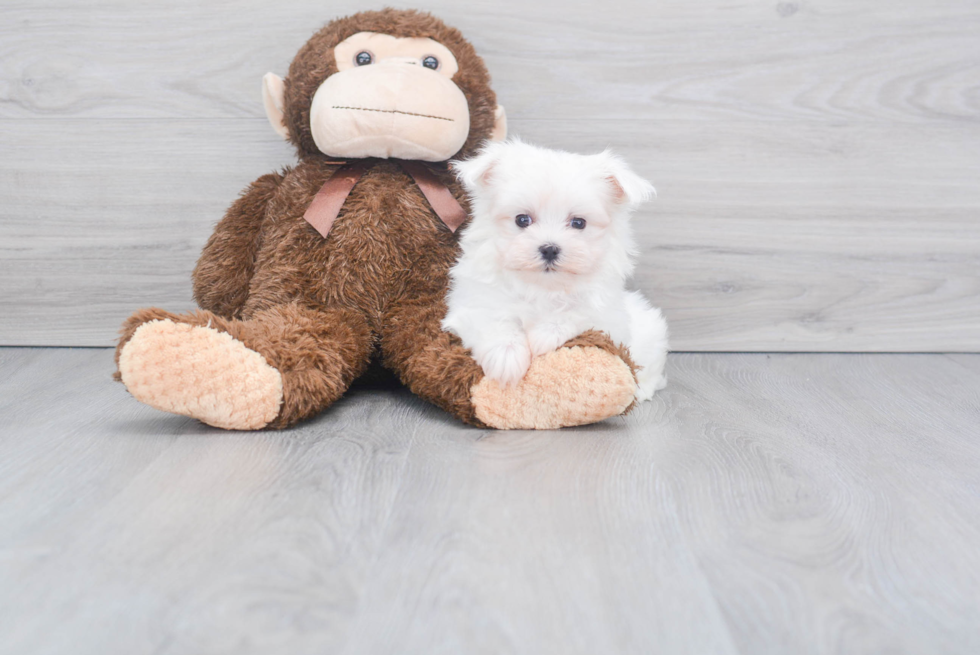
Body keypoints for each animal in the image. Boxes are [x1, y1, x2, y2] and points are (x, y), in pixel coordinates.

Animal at [442, 141, 668, 402]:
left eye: (579, 223)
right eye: (522, 220)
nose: (549, 249)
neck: (543, 287)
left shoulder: (609, 318)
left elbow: (578, 312)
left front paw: (545, 336)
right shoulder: (472, 304)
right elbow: (494, 321)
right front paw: (506, 356)